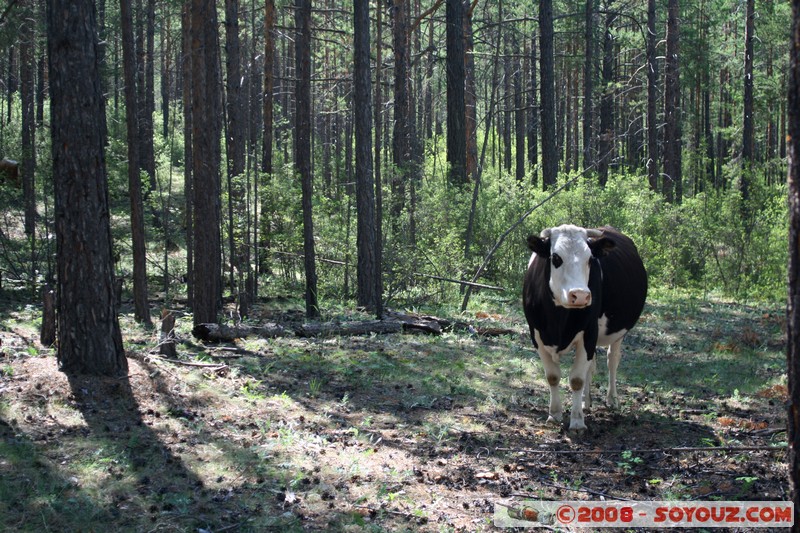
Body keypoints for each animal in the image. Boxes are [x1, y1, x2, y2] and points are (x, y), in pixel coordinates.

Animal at [520, 224, 648, 432]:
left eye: (590, 259)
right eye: (556, 258)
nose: (580, 295)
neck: (558, 321)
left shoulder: (589, 333)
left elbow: (576, 380)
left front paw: (577, 422)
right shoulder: (536, 335)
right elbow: (553, 376)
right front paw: (554, 414)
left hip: (617, 334)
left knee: (612, 360)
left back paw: (611, 399)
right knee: (592, 366)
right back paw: (585, 402)